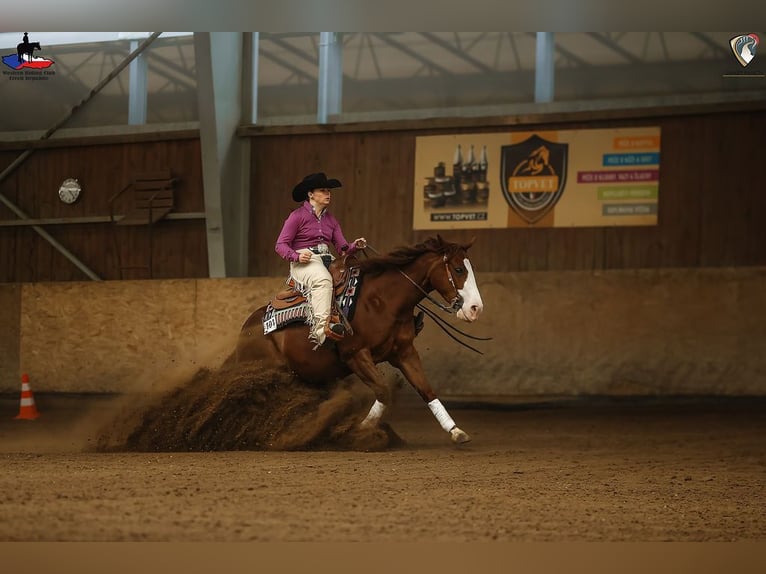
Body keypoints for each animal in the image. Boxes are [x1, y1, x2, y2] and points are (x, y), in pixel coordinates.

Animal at [234, 235, 485, 444]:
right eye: (459, 269)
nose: (476, 309)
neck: (383, 300)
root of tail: (247, 328)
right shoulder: (356, 355)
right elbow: (383, 390)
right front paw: (360, 430)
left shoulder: (404, 353)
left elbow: (426, 390)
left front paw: (455, 431)